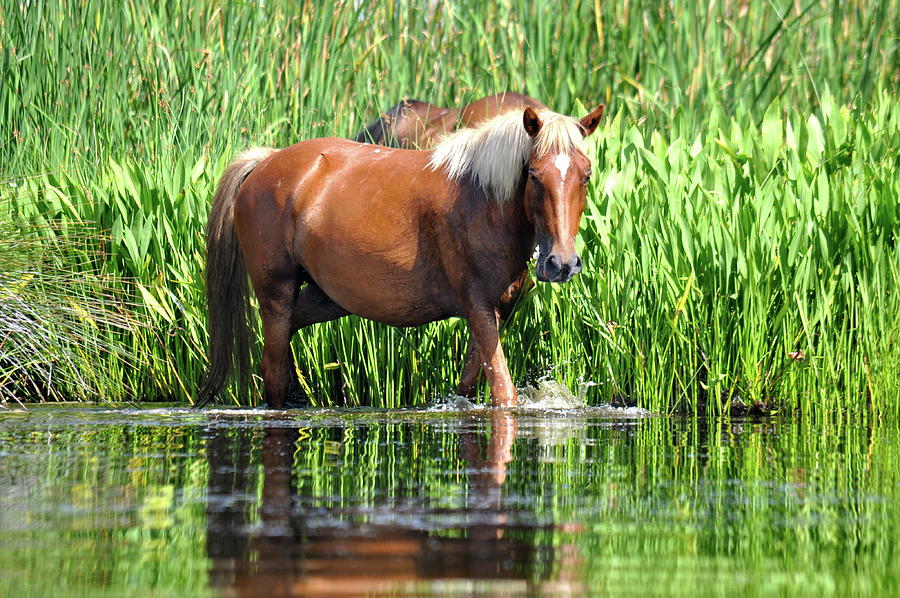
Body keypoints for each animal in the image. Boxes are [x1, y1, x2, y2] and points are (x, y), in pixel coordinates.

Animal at [197, 104, 604, 412]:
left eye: (586, 175)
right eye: (534, 175)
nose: (562, 263)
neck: (484, 201)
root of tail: (265, 162)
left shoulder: (494, 315)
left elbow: (468, 387)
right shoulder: (479, 309)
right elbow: (505, 393)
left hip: (325, 299)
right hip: (276, 293)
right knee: (274, 371)